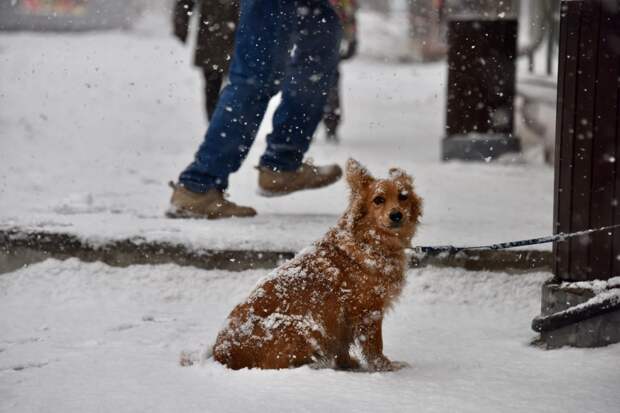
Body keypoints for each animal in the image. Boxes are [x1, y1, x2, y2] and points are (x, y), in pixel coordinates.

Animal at [212, 159, 422, 370]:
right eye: (378, 200)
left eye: (403, 197)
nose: (396, 215)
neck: (370, 242)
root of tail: (221, 354)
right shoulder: (368, 311)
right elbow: (374, 345)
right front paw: (385, 366)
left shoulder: (341, 321)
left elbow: (343, 347)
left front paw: (348, 364)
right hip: (302, 326)